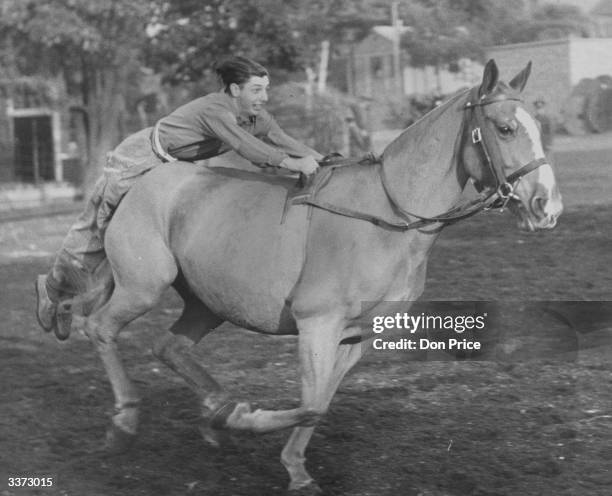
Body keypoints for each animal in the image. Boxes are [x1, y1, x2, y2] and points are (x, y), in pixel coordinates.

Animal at [73, 60, 564, 494]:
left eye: (539, 125)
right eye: (505, 128)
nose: (547, 206)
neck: (386, 215)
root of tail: (135, 186)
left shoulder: (357, 335)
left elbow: (322, 402)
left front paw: (287, 461)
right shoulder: (317, 325)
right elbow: (309, 405)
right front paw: (256, 428)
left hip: (206, 304)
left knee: (169, 347)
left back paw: (214, 415)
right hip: (143, 287)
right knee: (99, 328)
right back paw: (126, 422)